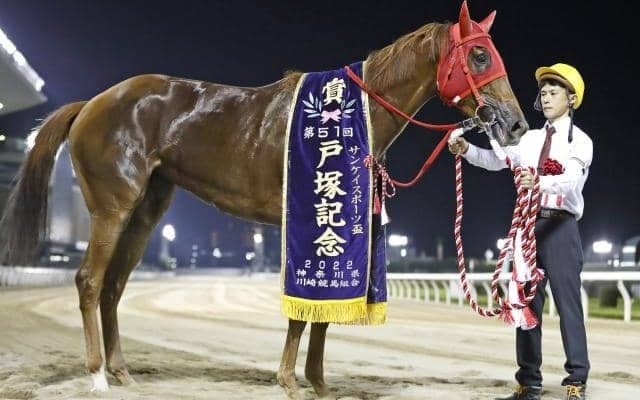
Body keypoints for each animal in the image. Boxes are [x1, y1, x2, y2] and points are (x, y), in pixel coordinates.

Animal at [0, 1, 528, 399]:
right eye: (480, 56)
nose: (517, 124)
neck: (349, 116)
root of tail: (90, 104)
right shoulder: (305, 218)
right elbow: (301, 308)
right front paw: (290, 380)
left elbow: (324, 310)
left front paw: (318, 382)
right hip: (112, 206)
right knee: (90, 281)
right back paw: (96, 375)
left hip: (146, 211)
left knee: (113, 286)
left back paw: (122, 371)